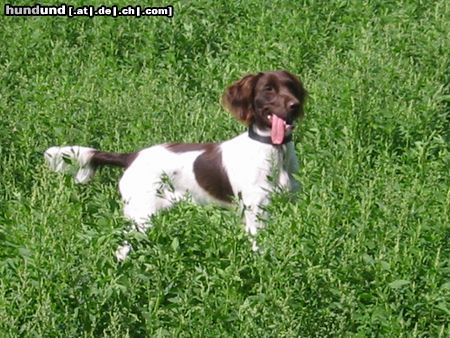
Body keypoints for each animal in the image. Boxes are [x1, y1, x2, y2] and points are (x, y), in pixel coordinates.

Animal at [44, 70, 306, 260]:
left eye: (291, 87)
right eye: (268, 89)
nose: (294, 105)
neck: (275, 153)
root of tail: (132, 156)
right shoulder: (256, 214)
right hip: (141, 216)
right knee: (121, 249)